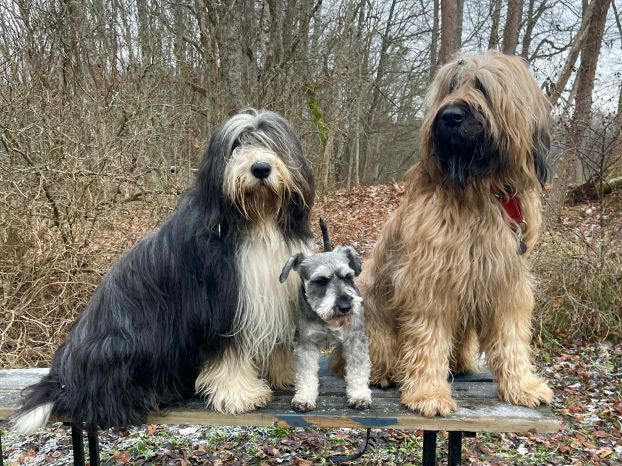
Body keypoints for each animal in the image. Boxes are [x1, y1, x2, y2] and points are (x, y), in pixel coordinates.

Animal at [11, 109, 315, 433]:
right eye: (236, 145)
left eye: (272, 142)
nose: (260, 168)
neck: (257, 221)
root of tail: (63, 382)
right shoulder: (217, 308)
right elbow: (228, 354)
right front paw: (239, 394)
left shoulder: (275, 295)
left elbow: (279, 344)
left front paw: (287, 376)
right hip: (130, 344)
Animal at [279, 220, 371, 412]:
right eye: (320, 281)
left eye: (348, 277)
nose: (345, 307)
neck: (326, 320)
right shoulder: (306, 344)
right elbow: (306, 373)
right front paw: (304, 397)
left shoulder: (356, 340)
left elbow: (358, 369)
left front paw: (359, 395)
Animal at [356, 51, 553, 417]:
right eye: (449, 87)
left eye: (482, 86)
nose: (449, 117)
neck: (480, 187)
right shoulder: (431, 278)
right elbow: (428, 337)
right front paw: (428, 393)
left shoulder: (507, 279)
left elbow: (511, 336)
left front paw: (522, 384)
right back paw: (383, 373)